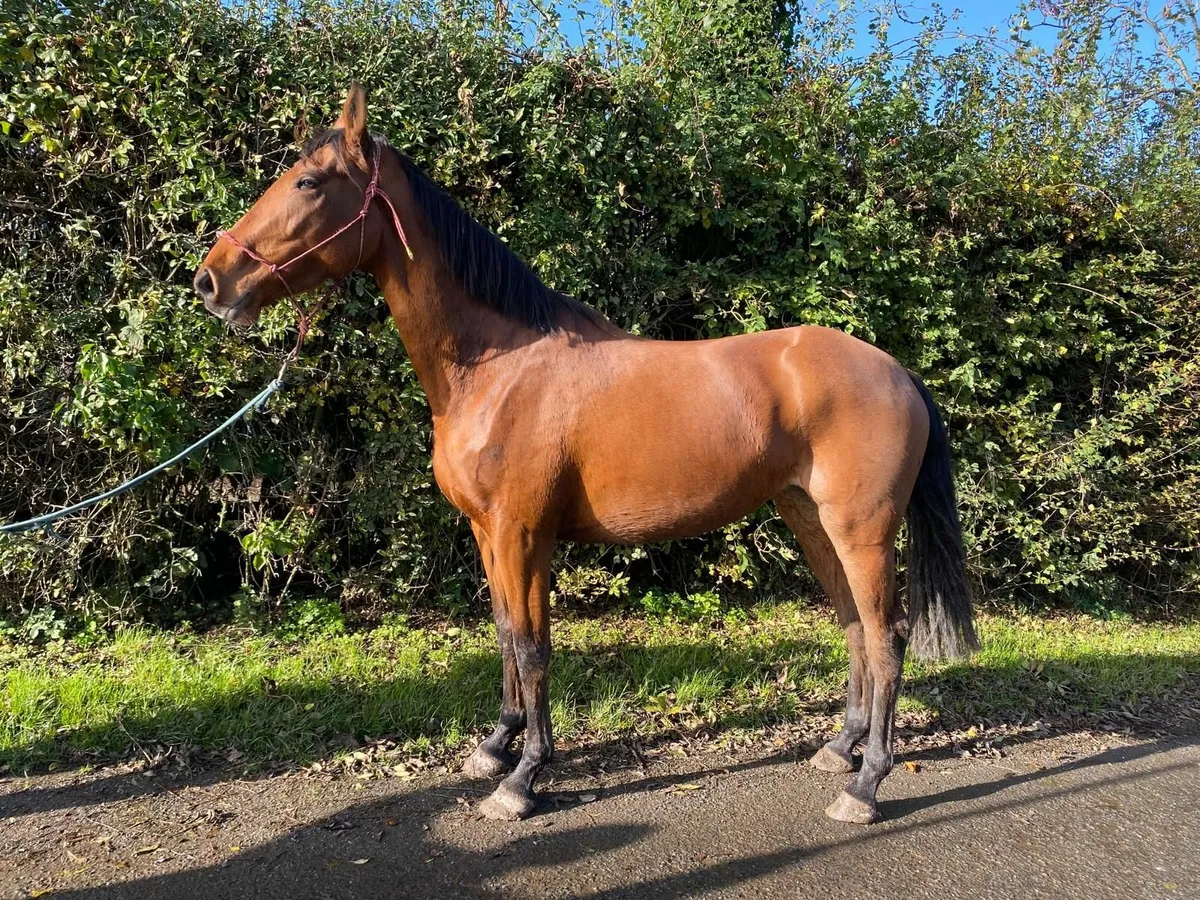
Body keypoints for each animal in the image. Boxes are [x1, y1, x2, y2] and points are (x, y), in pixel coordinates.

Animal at [195, 85, 977, 826]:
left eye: (309, 182)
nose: (211, 280)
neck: (497, 367)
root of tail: (898, 372)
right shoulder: (491, 533)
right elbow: (507, 634)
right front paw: (496, 747)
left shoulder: (522, 533)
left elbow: (533, 645)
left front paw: (522, 779)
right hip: (810, 520)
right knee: (853, 624)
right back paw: (840, 750)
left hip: (862, 529)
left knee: (888, 636)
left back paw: (867, 784)